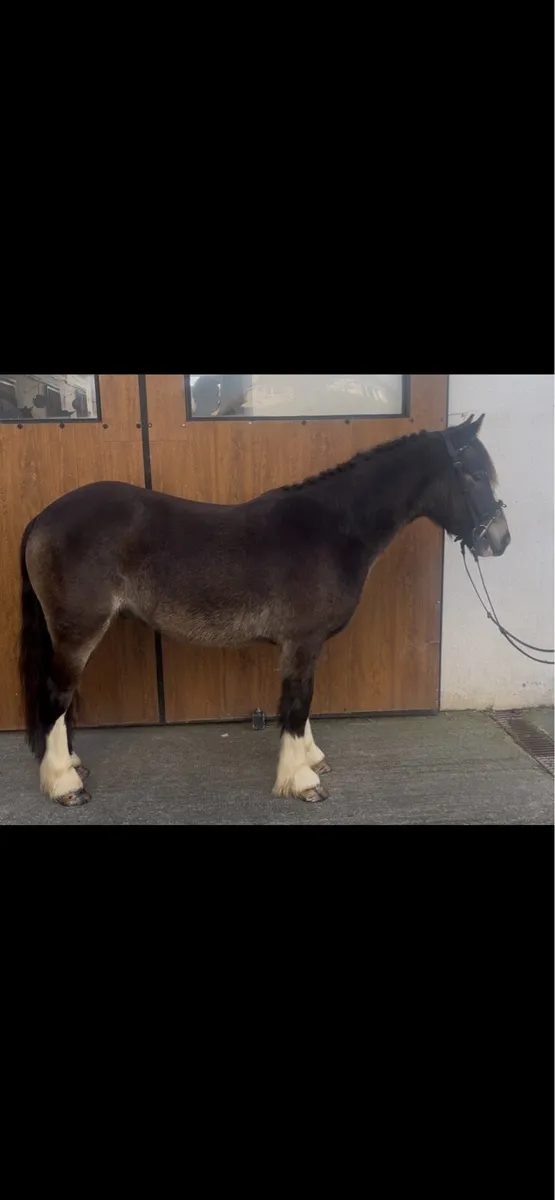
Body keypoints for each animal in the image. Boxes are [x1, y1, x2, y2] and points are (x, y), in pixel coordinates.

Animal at [18, 414, 510, 809]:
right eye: (472, 475)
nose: (500, 539)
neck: (333, 528)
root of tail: (45, 516)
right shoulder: (302, 641)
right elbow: (297, 703)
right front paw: (302, 781)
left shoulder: (304, 645)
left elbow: (303, 704)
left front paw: (311, 759)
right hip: (78, 633)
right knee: (56, 695)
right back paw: (64, 785)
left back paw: (70, 764)